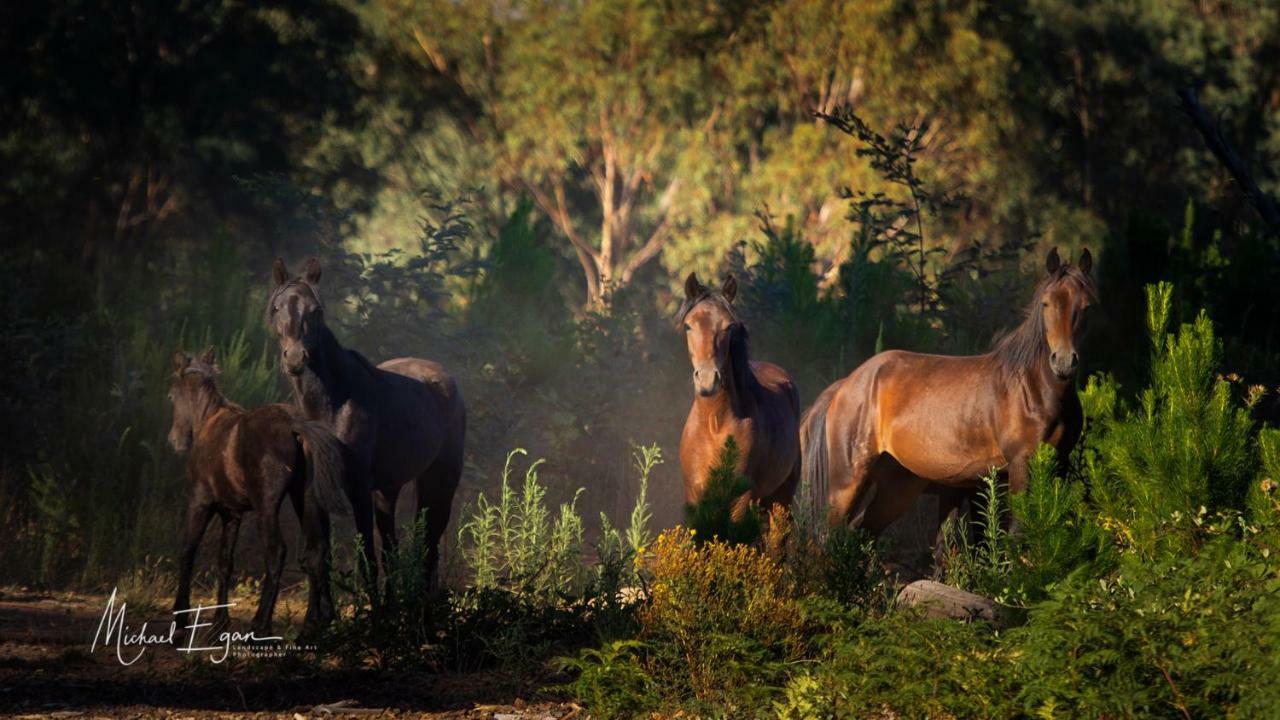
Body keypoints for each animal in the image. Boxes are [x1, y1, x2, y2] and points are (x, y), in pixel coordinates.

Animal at [170, 348, 353, 632]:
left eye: (171, 394)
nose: (175, 440)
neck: (209, 422)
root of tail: (295, 424)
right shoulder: (231, 513)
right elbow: (225, 562)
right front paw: (219, 622)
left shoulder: (200, 503)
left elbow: (188, 551)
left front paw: (181, 617)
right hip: (306, 500)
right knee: (316, 552)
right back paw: (314, 624)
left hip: (266, 506)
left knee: (276, 551)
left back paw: (260, 622)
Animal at [267, 254, 468, 586]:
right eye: (276, 307)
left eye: (316, 310)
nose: (295, 358)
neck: (332, 405)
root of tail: (445, 379)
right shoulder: (315, 493)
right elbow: (320, 559)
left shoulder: (359, 488)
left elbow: (367, 561)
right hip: (388, 490)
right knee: (395, 550)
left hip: (440, 478)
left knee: (429, 542)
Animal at [680, 272, 798, 515]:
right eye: (688, 326)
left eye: (728, 327)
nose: (707, 380)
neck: (714, 425)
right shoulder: (695, 496)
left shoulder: (741, 498)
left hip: (781, 497)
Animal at [798, 245, 1090, 543]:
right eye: (1046, 303)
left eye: (1086, 306)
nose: (1064, 362)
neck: (1033, 389)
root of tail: (845, 385)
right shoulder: (1021, 466)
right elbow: (1016, 533)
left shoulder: (1058, 465)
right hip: (846, 482)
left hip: (896, 488)